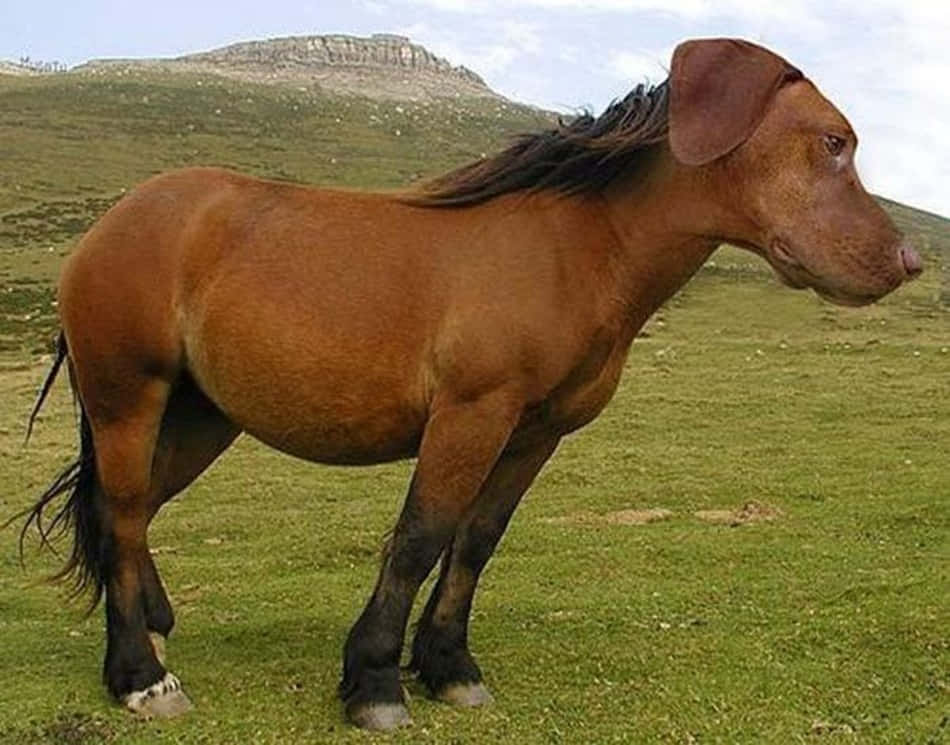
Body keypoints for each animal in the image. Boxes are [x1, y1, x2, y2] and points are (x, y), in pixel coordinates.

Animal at [15, 38, 921, 730]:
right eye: (833, 141)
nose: (909, 261)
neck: (573, 248)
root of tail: (113, 222)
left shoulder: (534, 431)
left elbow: (477, 540)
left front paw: (449, 665)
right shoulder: (471, 413)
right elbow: (421, 535)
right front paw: (375, 681)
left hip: (201, 417)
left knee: (131, 514)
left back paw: (154, 638)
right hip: (128, 399)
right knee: (121, 512)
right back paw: (141, 677)